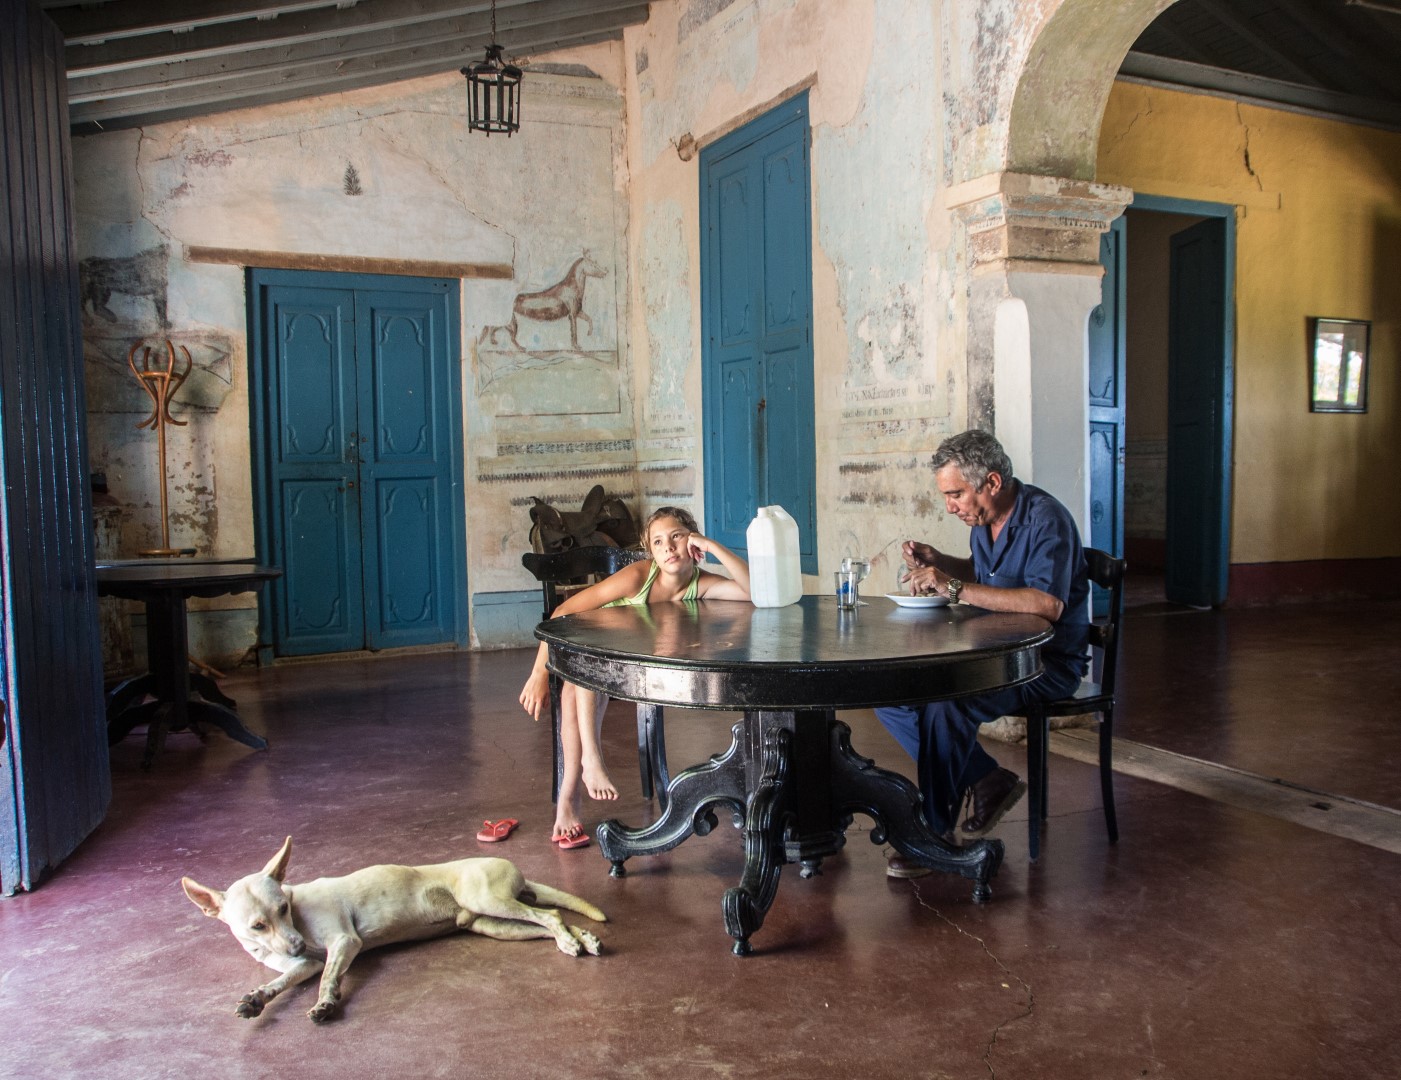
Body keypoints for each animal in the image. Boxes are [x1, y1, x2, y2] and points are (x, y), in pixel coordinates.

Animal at [179, 834, 602, 1019]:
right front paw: (257, 998)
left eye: (283, 908)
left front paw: (325, 1002)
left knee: (550, 916)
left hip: (489, 901)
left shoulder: (344, 942)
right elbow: (283, 980)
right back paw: (582, 939)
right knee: (552, 920)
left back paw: (571, 942)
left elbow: (327, 976)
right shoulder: (302, 964)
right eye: (257, 926)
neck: (297, 909)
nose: (296, 945)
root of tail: (517, 870)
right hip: (493, 923)